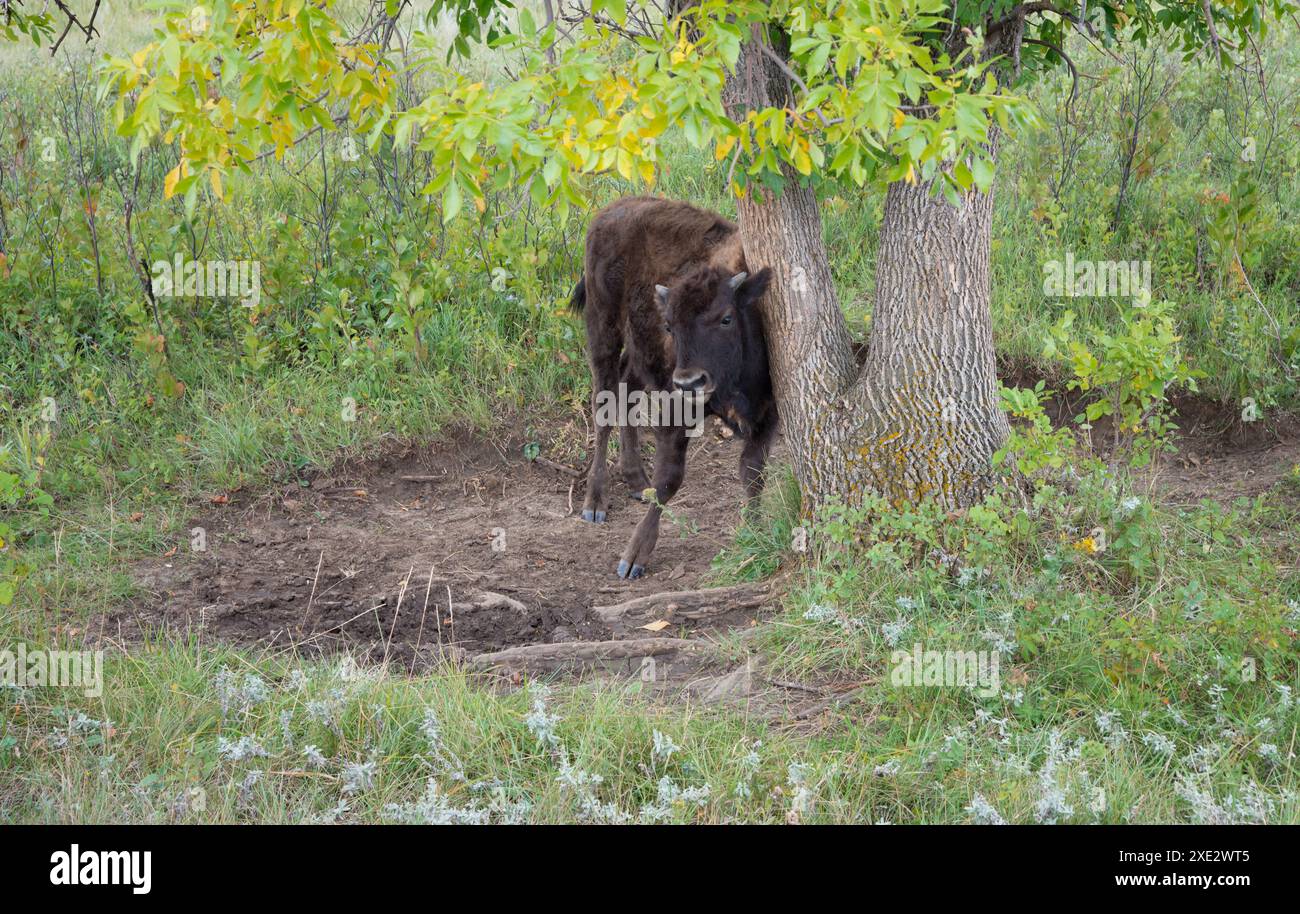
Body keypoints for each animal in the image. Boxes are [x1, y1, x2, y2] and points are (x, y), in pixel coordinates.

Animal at [569, 196, 769, 579]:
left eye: (726, 317)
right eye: (670, 326)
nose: (690, 382)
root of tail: (609, 211)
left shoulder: (767, 412)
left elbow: (752, 472)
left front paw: (754, 534)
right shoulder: (677, 411)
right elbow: (671, 477)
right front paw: (633, 558)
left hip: (638, 352)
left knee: (627, 392)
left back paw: (636, 481)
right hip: (602, 327)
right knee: (603, 402)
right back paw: (595, 502)